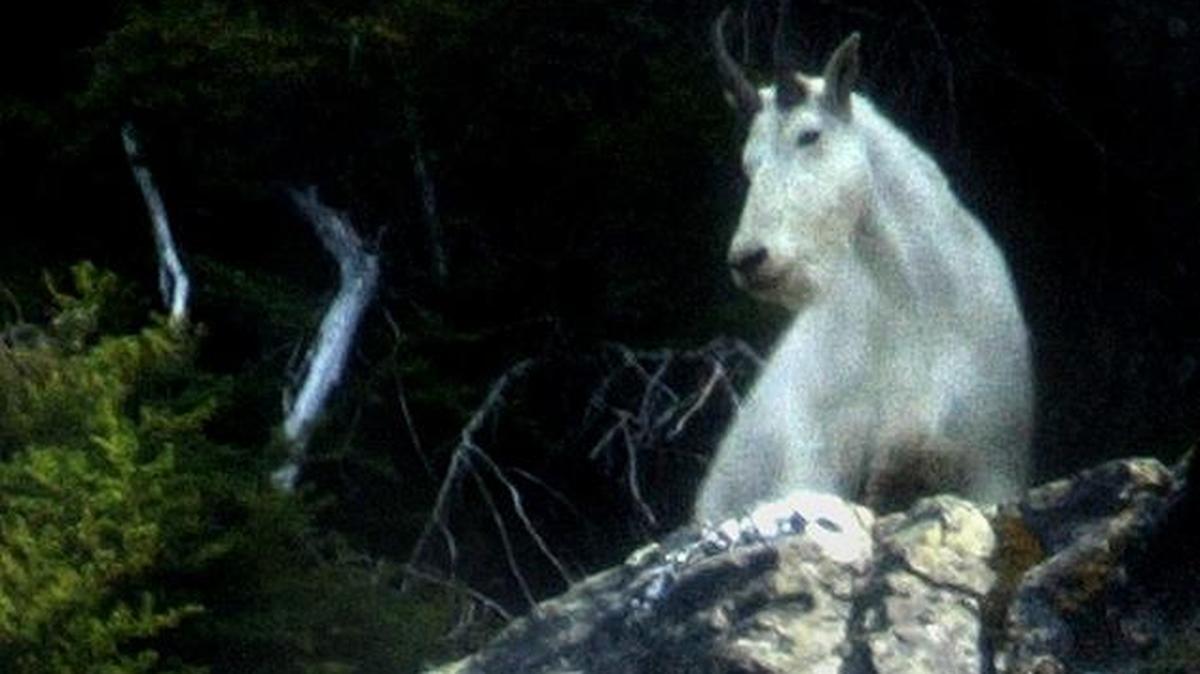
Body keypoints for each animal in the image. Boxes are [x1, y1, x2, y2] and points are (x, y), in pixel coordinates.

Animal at [694, 7, 1033, 522]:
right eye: (749, 162)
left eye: (809, 135)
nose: (750, 258)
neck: (918, 307)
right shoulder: (819, 461)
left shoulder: (992, 466)